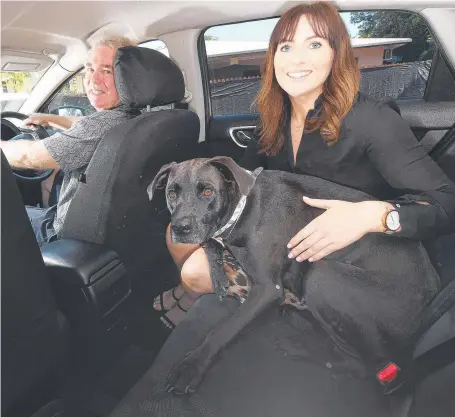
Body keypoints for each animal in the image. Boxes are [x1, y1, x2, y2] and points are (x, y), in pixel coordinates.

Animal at [148, 155, 440, 394]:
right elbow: (213, 245)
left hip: (323, 277)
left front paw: (192, 366)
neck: (244, 208)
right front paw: (216, 267)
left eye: (207, 191)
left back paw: (299, 346)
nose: (180, 228)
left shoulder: (267, 289)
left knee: (359, 365)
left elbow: (223, 329)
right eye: (172, 194)